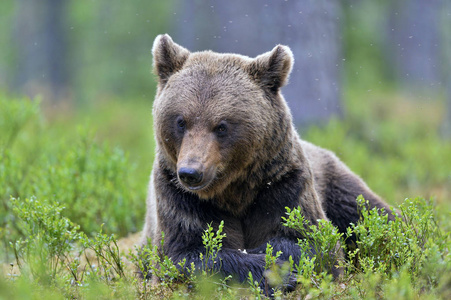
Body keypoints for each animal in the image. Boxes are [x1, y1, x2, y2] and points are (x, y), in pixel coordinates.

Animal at [140, 34, 392, 292]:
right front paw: (267, 269)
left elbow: (312, 242)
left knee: (368, 212)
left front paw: (275, 260)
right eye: (181, 121)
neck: (233, 191)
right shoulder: (179, 197)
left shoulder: (284, 185)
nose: (191, 172)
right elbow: (184, 255)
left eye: (222, 126)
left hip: (334, 181)